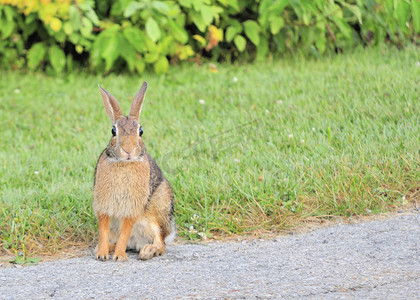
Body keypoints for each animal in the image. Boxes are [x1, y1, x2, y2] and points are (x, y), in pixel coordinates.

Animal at [92, 81, 175, 262]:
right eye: (113, 131)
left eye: (141, 131)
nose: (128, 150)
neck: (124, 163)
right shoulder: (104, 205)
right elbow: (103, 228)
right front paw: (102, 254)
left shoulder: (131, 207)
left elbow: (126, 229)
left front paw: (119, 257)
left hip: (158, 213)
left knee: (161, 243)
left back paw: (147, 251)